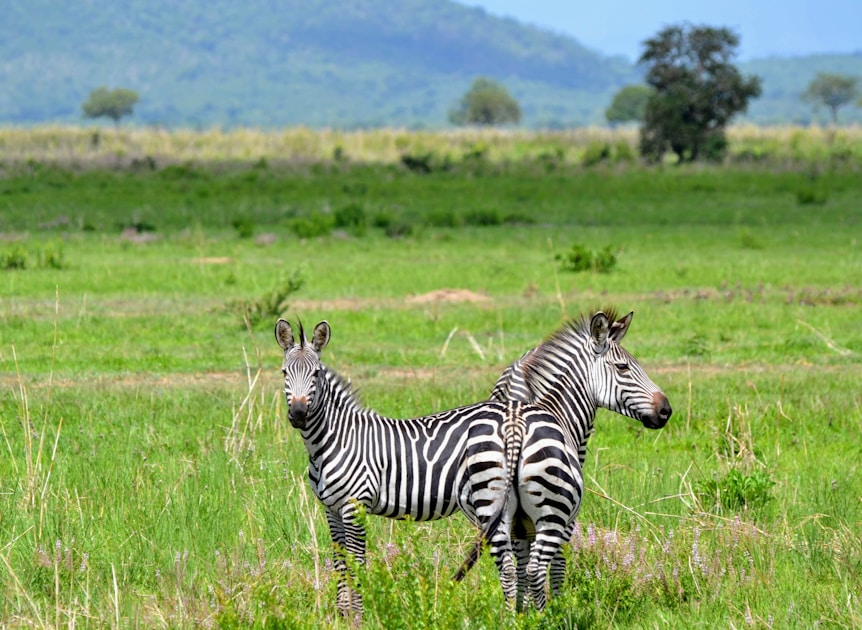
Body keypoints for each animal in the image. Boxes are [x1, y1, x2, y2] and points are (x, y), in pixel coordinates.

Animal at [275, 318, 583, 616]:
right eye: (284, 373)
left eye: (316, 374)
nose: (298, 415)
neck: (334, 440)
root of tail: (513, 413)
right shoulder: (332, 509)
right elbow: (341, 562)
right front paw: (342, 615)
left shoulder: (355, 506)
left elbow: (357, 562)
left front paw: (358, 617)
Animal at [488, 308, 672, 599]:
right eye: (623, 367)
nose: (666, 410)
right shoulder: (565, 512)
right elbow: (558, 561)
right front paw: (557, 602)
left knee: (513, 563)